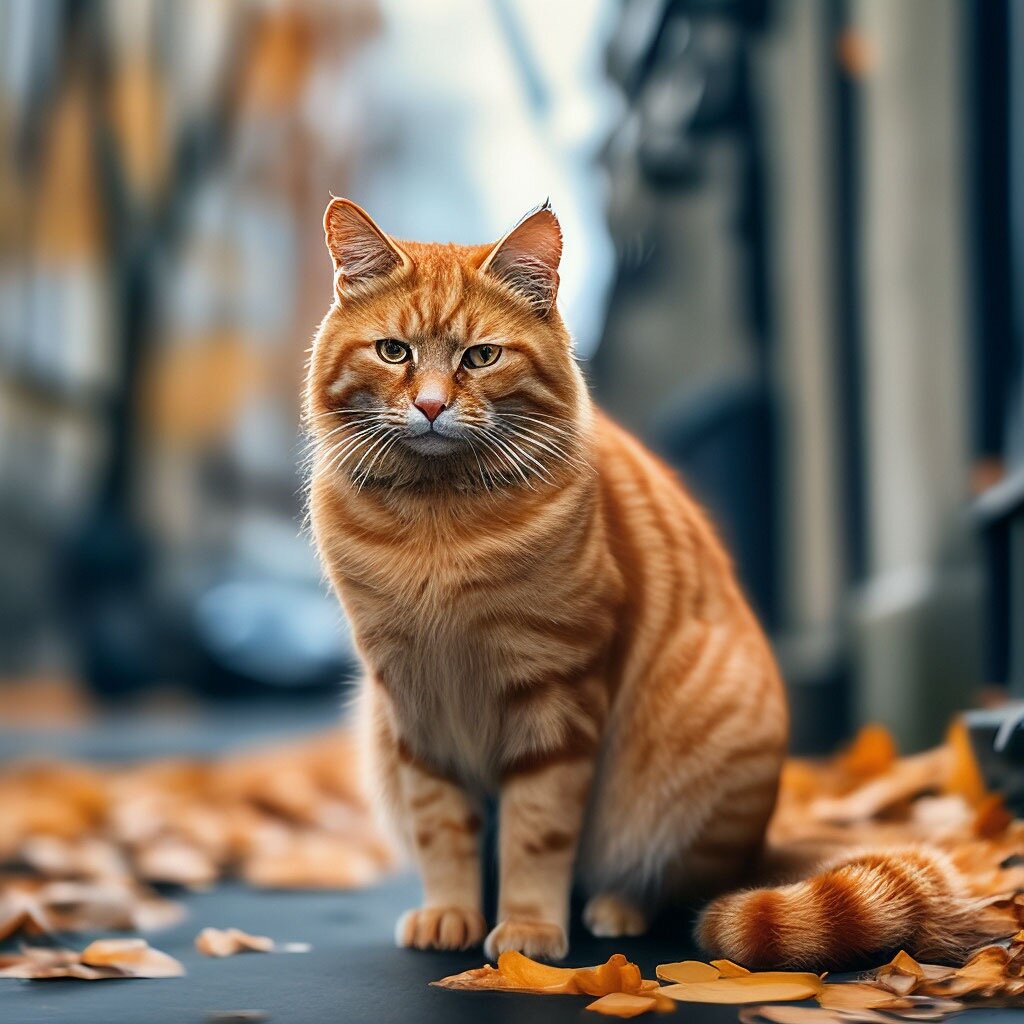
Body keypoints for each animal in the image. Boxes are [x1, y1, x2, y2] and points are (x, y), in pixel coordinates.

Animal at [301, 199, 782, 958]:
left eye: (481, 356)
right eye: (394, 351)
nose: (430, 406)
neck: (437, 526)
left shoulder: (557, 692)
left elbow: (536, 831)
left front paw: (525, 927)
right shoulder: (411, 700)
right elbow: (444, 827)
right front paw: (452, 912)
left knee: (664, 880)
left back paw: (616, 907)